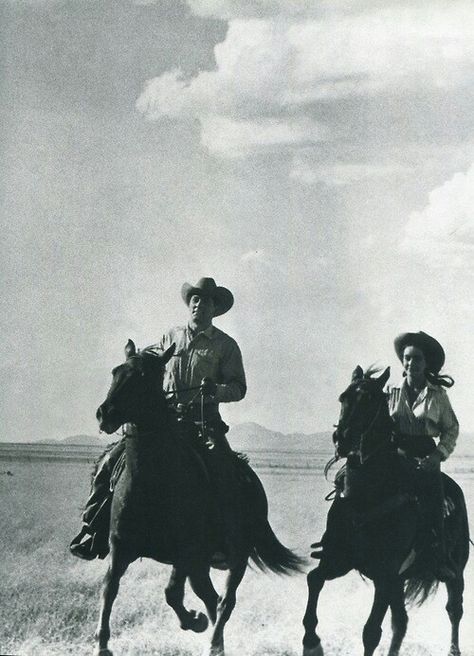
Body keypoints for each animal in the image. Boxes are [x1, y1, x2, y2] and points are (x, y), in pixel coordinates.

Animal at [92, 340, 302, 656]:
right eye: (116, 372)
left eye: (143, 376)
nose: (106, 413)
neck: (151, 484)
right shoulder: (120, 546)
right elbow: (109, 587)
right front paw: (102, 644)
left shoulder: (186, 551)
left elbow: (171, 593)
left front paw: (195, 621)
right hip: (202, 564)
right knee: (209, 595)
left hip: (235, 557)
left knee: (225, 602)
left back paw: (214, 642)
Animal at [302, 366, 468, 652]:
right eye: (343, 397)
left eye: (369, 400)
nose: (342, 439)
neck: (367, 496)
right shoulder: (339, 559)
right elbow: (314, 579)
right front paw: (311, 641)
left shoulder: (386, 573)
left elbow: (370, 632)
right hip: (398, 582)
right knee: (401, 621)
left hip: (455, 572)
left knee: (454, 609)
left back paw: (453, 649)